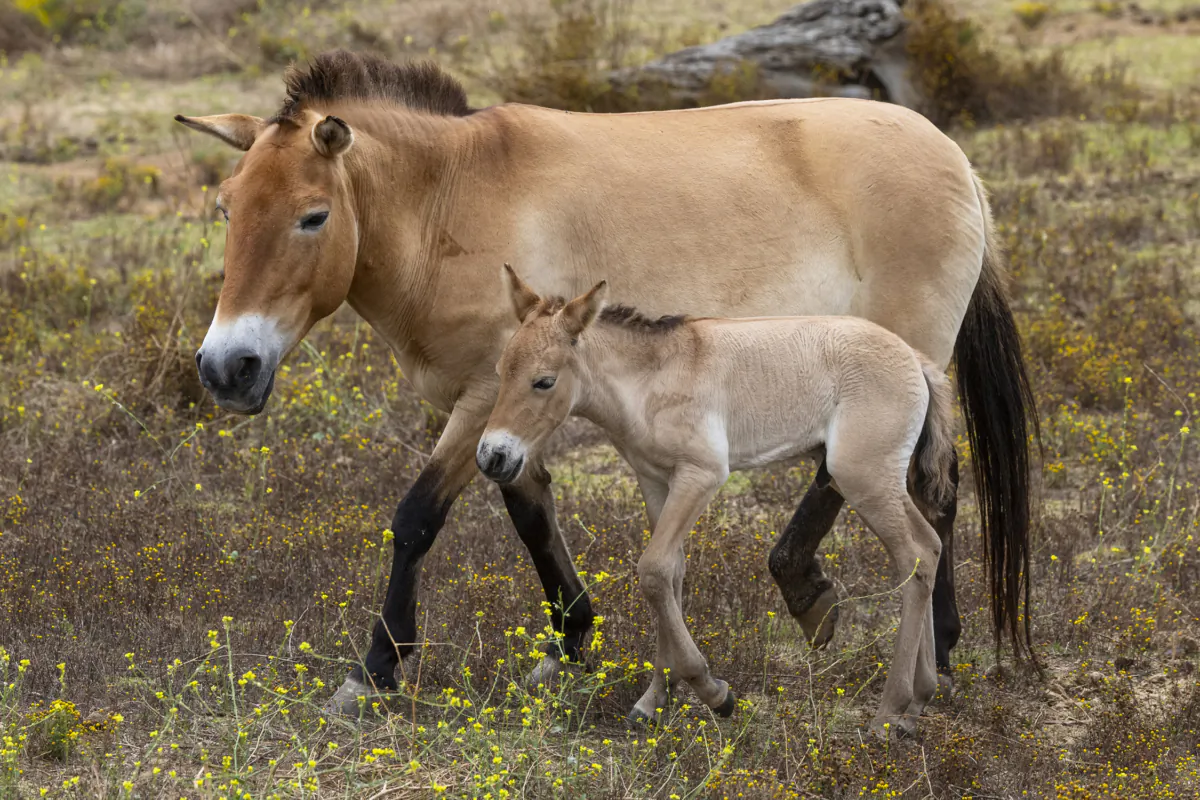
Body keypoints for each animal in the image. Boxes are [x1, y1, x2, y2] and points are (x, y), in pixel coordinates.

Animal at [477, 266, 958, 738]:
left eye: (544, 381)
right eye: (500, 369)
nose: (492, 457)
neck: (652, 379)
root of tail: (917, 361)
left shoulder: (701, 475)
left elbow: (653, 570)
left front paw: (713, 692)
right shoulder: (656, 482)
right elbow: (670, 575)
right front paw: (654, 701)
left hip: (862, 478)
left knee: (913, 557)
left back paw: (889, 712)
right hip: (879, 482)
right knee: (929, 548)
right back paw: (918, 701)